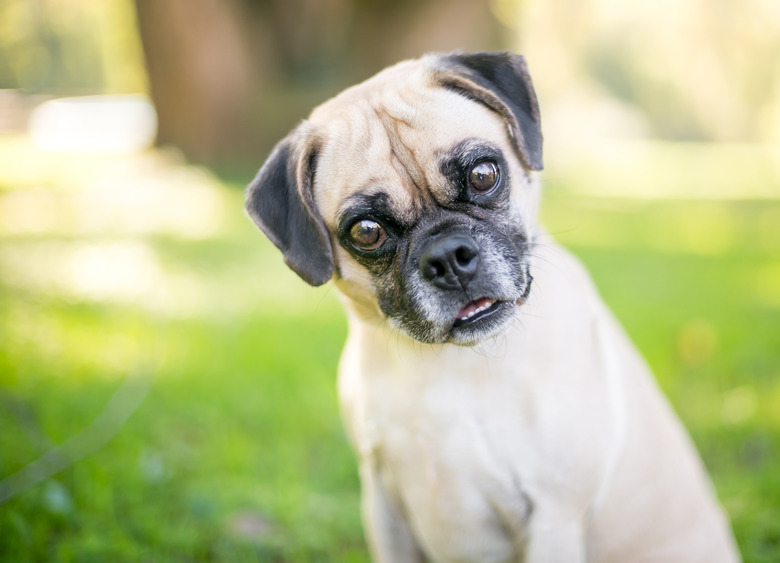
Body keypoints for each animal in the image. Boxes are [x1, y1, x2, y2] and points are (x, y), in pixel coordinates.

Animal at [247, 50, 740, 560]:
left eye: (484, 175)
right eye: (366, 231)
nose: (448, 256)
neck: (453, 365)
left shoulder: (554, 519)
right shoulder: (384, 508)